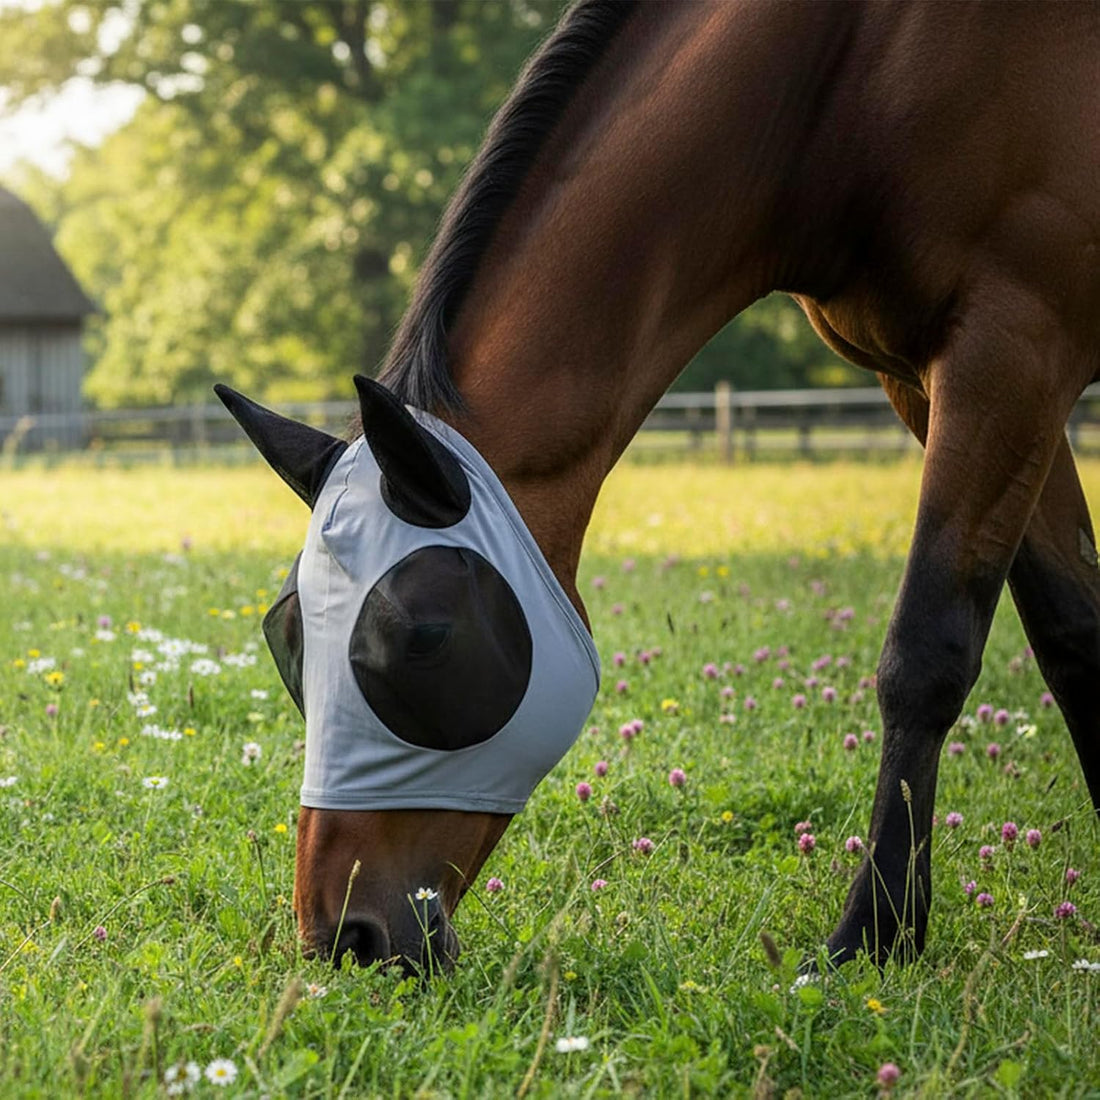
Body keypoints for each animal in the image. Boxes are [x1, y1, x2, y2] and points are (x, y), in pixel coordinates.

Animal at [217, 0, 1100, 973]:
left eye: (424, 636)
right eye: (286, 640)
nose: (343, 937)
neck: (852, 87)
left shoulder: (1009, 349)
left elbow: (928, 653)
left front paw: (872, 937)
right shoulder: (945, 376)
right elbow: (1075, 634)